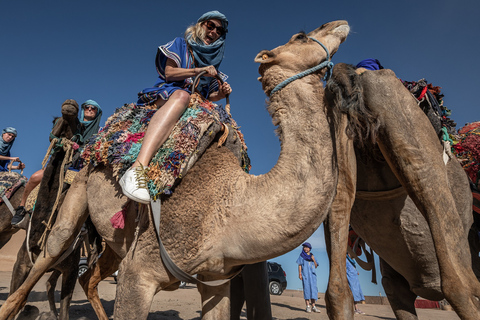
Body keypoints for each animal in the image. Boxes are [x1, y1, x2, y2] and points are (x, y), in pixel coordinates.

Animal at [0, 20, 352, 320]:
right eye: (301, 36)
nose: (339, 23)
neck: (232, 205)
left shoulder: (215, 279)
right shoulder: (140, 272)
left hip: (114, 239)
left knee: (89, 277)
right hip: (77, 195)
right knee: (47, 257)